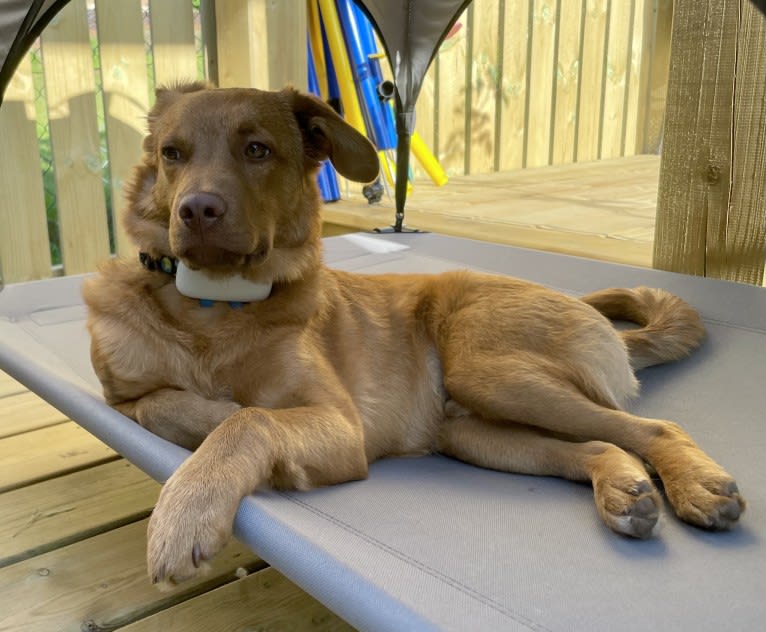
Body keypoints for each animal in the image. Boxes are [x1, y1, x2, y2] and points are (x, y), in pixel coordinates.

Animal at [82, 84, 744, 588]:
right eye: (172, 154)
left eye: (257, 149)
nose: (196, 211)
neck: (212, 309)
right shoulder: (125, 397)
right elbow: (160, 404)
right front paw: (203, 416)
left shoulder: (339, 426)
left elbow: (249, 420)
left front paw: (188, 506)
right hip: (471, 431)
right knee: (603, 445)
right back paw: (624, 486)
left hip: (491, 372)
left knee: (654, 427)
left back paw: (697, 483)